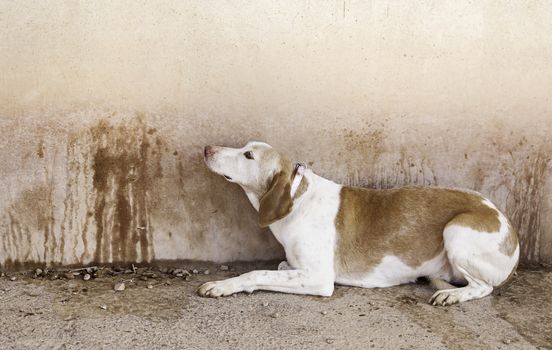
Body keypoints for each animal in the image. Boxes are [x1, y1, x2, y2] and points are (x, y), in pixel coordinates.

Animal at [197, 141, 516, 304]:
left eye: (248, 154)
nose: (207, 148)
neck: (298, 198)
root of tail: (508, 226)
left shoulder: (319, 278)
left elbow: (256, 273)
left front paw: (222, 285)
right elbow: (279, 267)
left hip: (456, 230)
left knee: (484, 287)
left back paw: (454, 295)